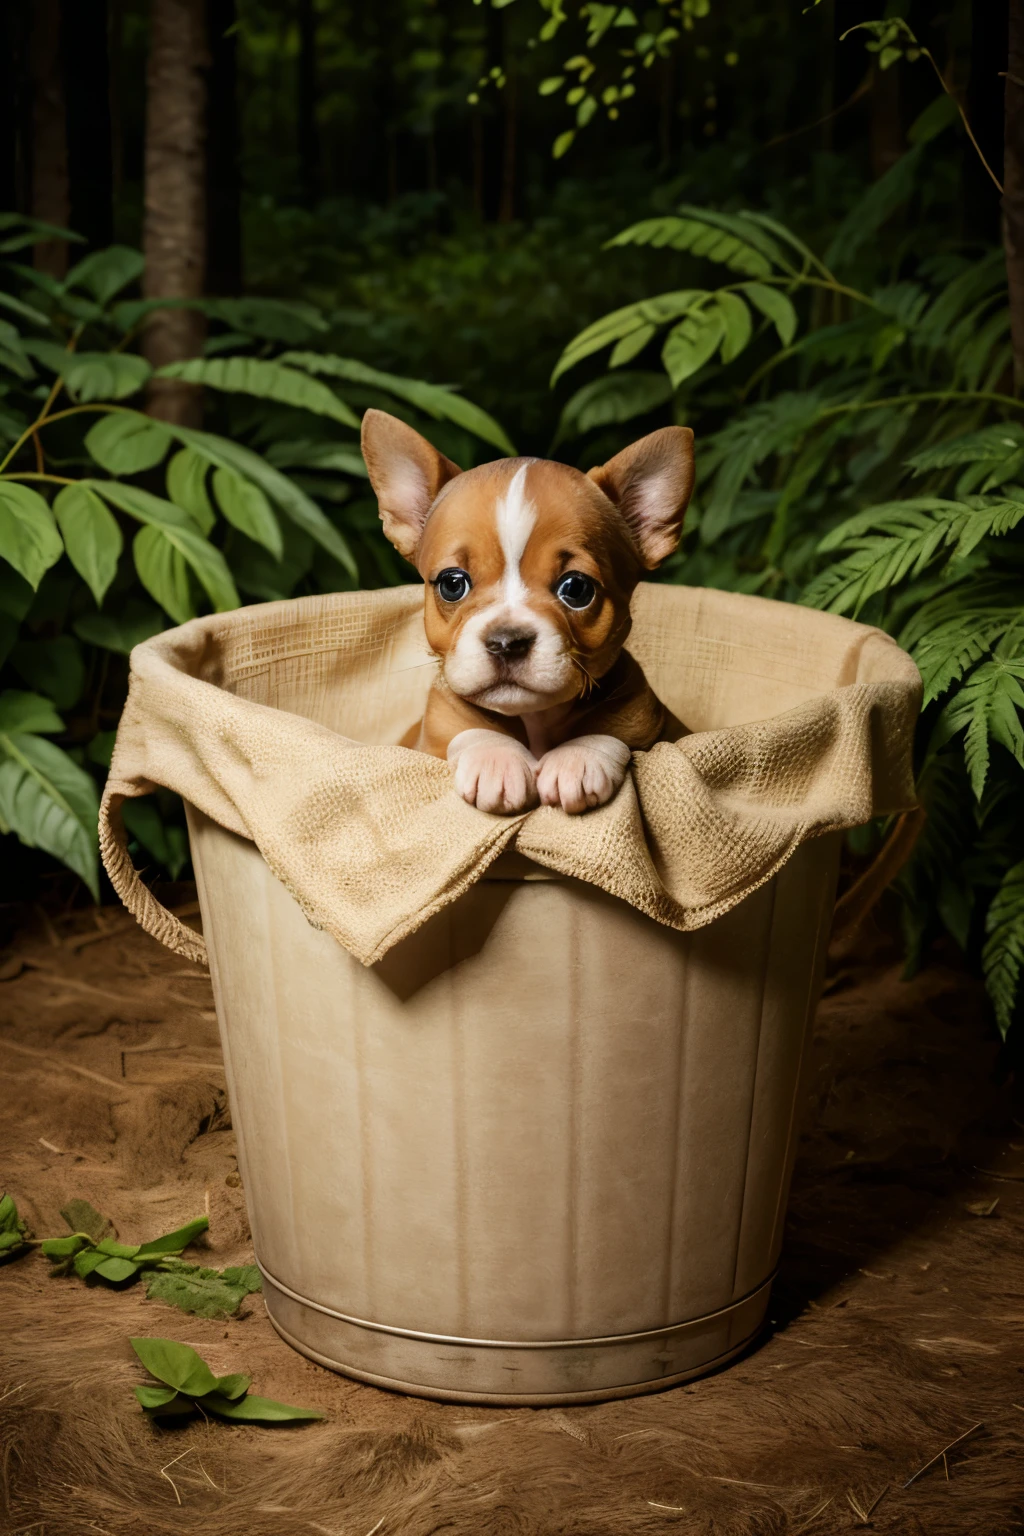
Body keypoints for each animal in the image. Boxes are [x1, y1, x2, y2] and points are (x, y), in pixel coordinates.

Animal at [362, 408, 696, 817]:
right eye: (452, 584)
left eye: (577, 589)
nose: (507, 641)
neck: (536, 719)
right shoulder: (434, 729)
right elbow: (467, 727)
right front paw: (496, 760)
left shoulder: (651, 719)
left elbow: (612, 728)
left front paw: (576, 758)